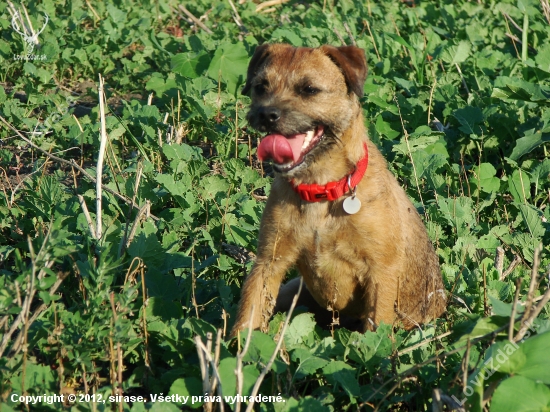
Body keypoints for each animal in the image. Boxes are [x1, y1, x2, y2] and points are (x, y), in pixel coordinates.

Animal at [231, 43, 446, 336]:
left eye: (309, 89)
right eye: (260, 87)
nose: (266, 114)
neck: (320, 188)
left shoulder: (381, 273)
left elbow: (376, 326)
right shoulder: (268, 262)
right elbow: (248, 315)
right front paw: (239, 347)